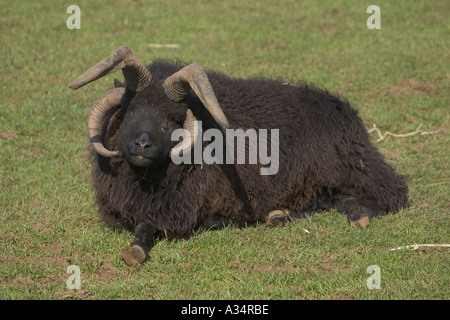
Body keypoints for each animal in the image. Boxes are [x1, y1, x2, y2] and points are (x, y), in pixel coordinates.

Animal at [67, 45, 408, 264]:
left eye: (172, 119)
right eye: (130, 110)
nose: (141, 145)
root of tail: (344, 109)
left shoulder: (177, 210)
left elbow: (148, 228)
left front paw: (136, 249)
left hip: (351, 169)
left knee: (392, 194)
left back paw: (358, 214)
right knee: (329, 200)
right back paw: (279, 215)